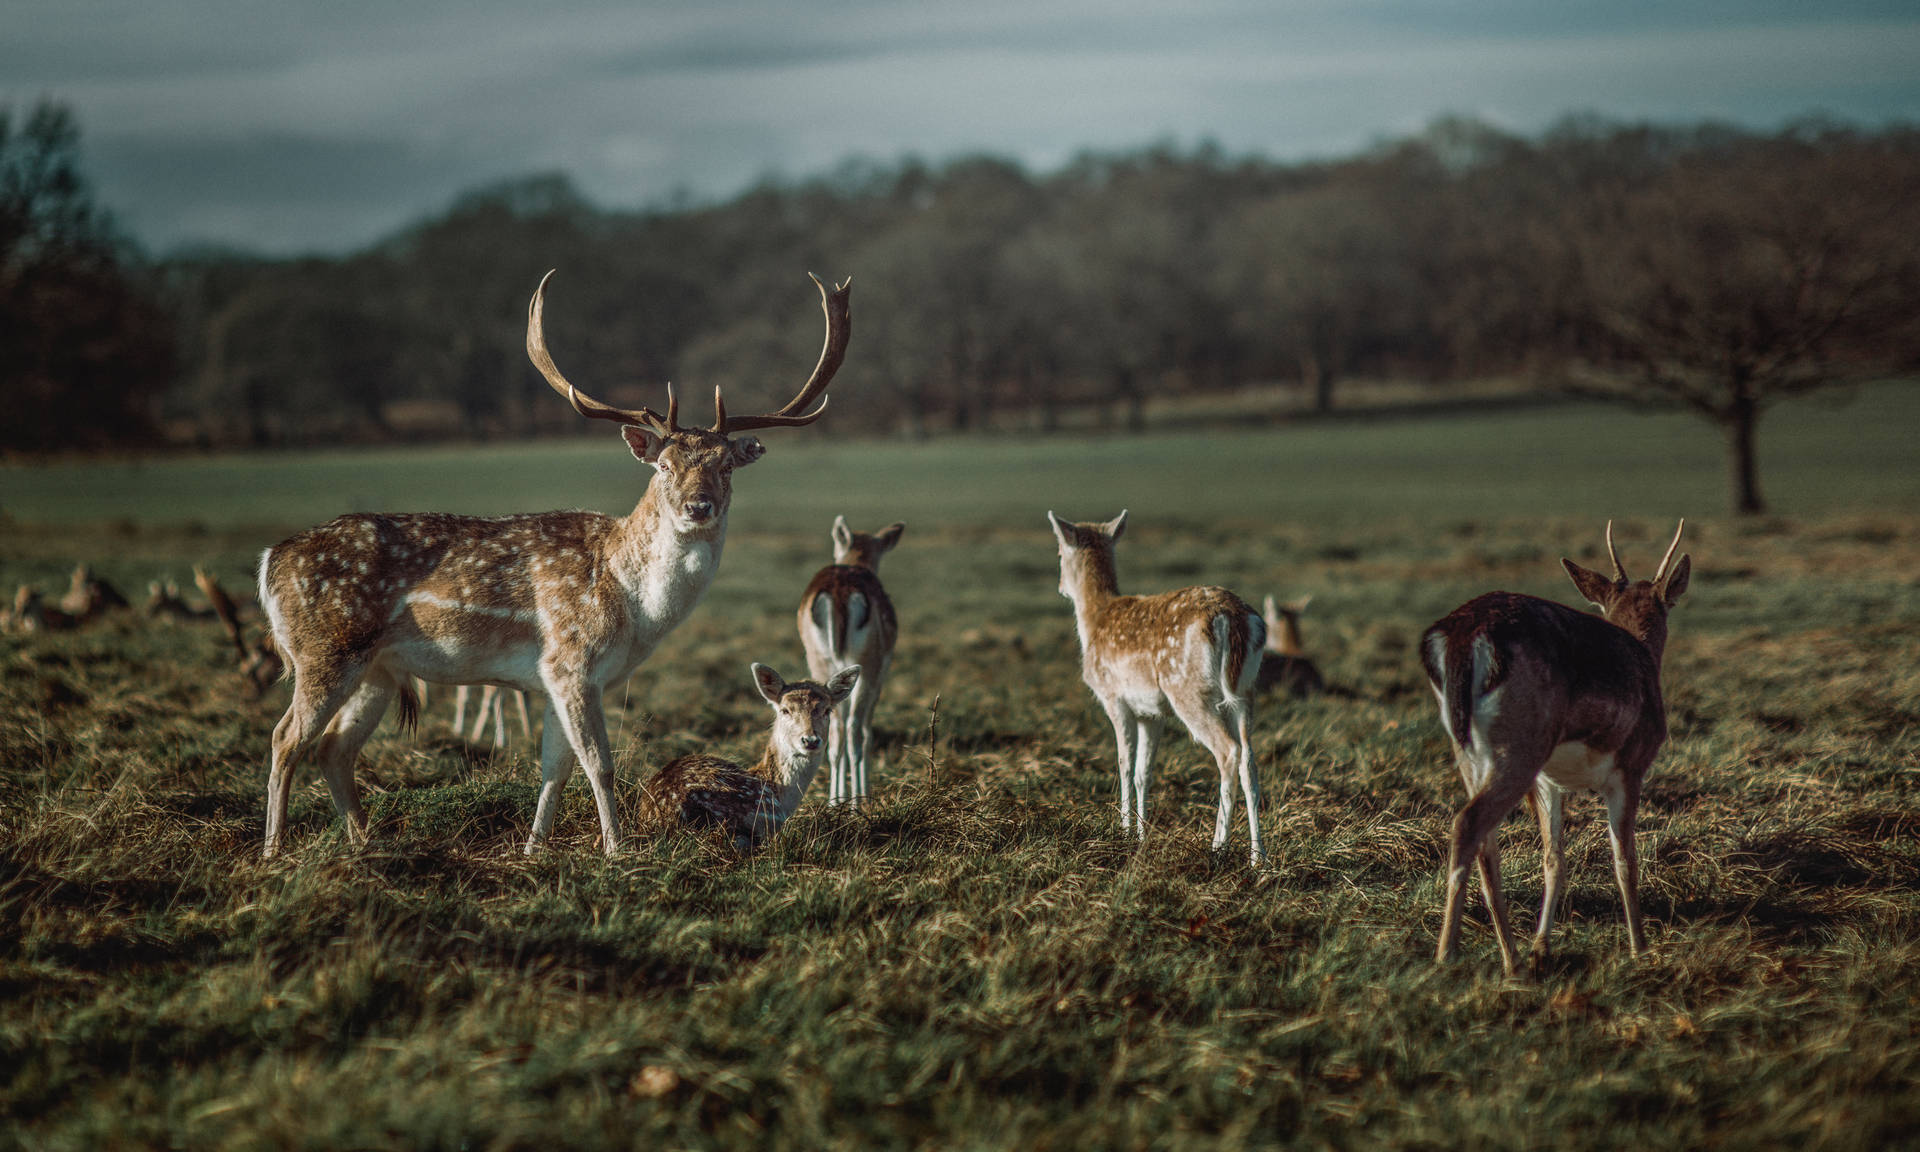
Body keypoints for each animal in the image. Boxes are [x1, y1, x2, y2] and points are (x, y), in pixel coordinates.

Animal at [794, 518, 898, 806]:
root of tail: (839, 593)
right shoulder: (879, 674)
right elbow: (868, 730)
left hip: (819, 661)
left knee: (835, 728)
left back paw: (835, 801)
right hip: (867, 663)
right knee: (853, 728)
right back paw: (857, 802)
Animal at [1044, 514, 1267, 864]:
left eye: (1058, 553)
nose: (1060, 586)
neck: (1094, 620)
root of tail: (1235, 620)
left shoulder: (1114, 698)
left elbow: (1123, 765)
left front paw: (1123, 830)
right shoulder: (1152, 713)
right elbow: (1143, 772)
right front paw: (1141, 834)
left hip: (1189, 691)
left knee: (1228, 752)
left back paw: (1218, 846)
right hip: (1246, 692)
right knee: (1249, 760)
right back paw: (1259, 858)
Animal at [1420, 518, 1689, 975]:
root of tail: (1459, 637)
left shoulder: (1549, 782)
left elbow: (1554, 860)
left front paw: (1541, 947)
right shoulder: (1630, 767)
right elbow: (1624, 860)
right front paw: (1640, 949)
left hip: (1470, 753)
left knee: (1486, 844)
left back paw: (1512, 958)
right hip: (1519, 748)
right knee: (1467, 823)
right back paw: (1446, 956)